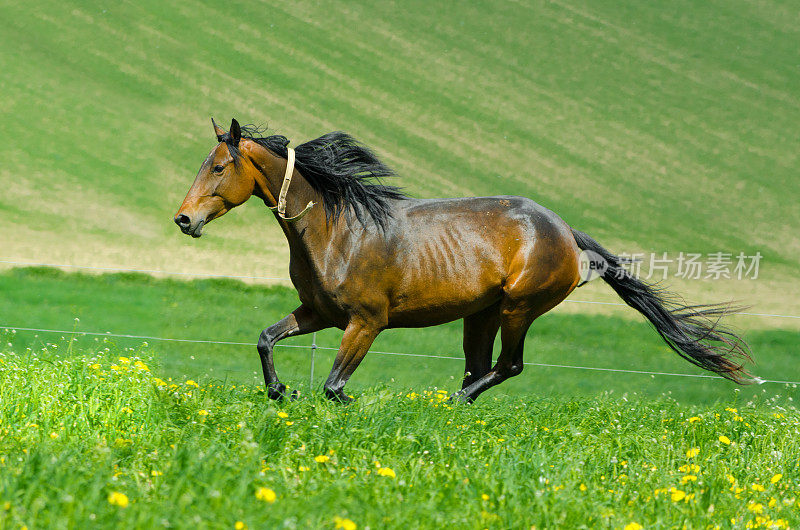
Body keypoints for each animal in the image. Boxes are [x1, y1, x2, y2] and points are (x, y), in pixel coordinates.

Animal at [172, 118, 752, 400]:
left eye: (219, 166)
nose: (183, 219)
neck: (337, 229)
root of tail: (566, 232)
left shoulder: (366, 322)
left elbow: (336, 386)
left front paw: (342, 403)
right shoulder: (320, 313)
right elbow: (266, 339)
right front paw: (279, 391)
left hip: (519, 308)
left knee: (507, 366)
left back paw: (446, 405)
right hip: (482, 314)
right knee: (481, 367)